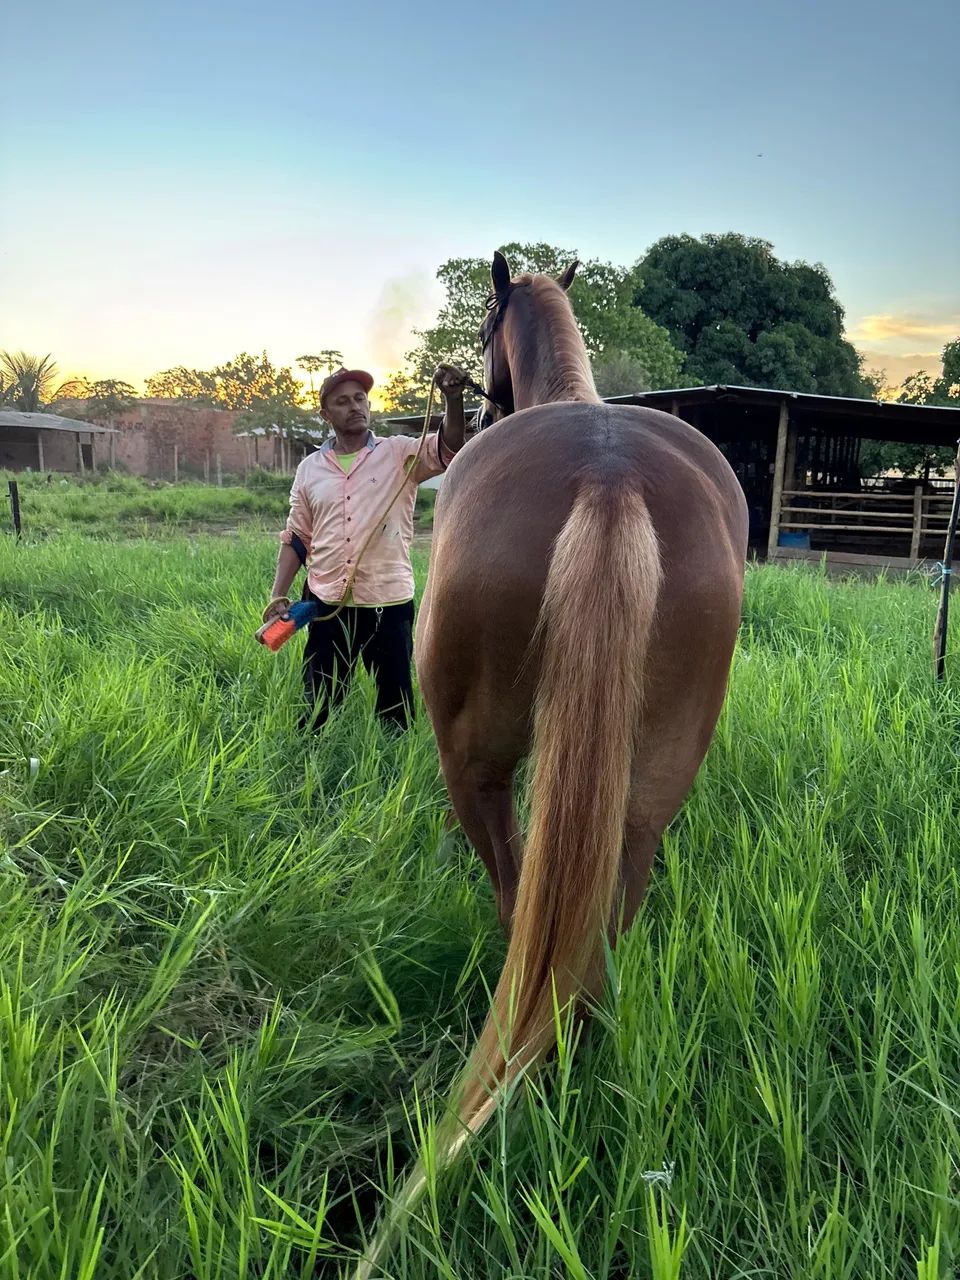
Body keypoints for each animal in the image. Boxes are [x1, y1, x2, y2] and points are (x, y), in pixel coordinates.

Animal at [355, 252, 747, 1275]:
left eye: (486, 332)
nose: (465, 398)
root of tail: (609, 478)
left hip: (475, 761)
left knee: (515, 893)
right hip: (648, 790)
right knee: (605, 923)